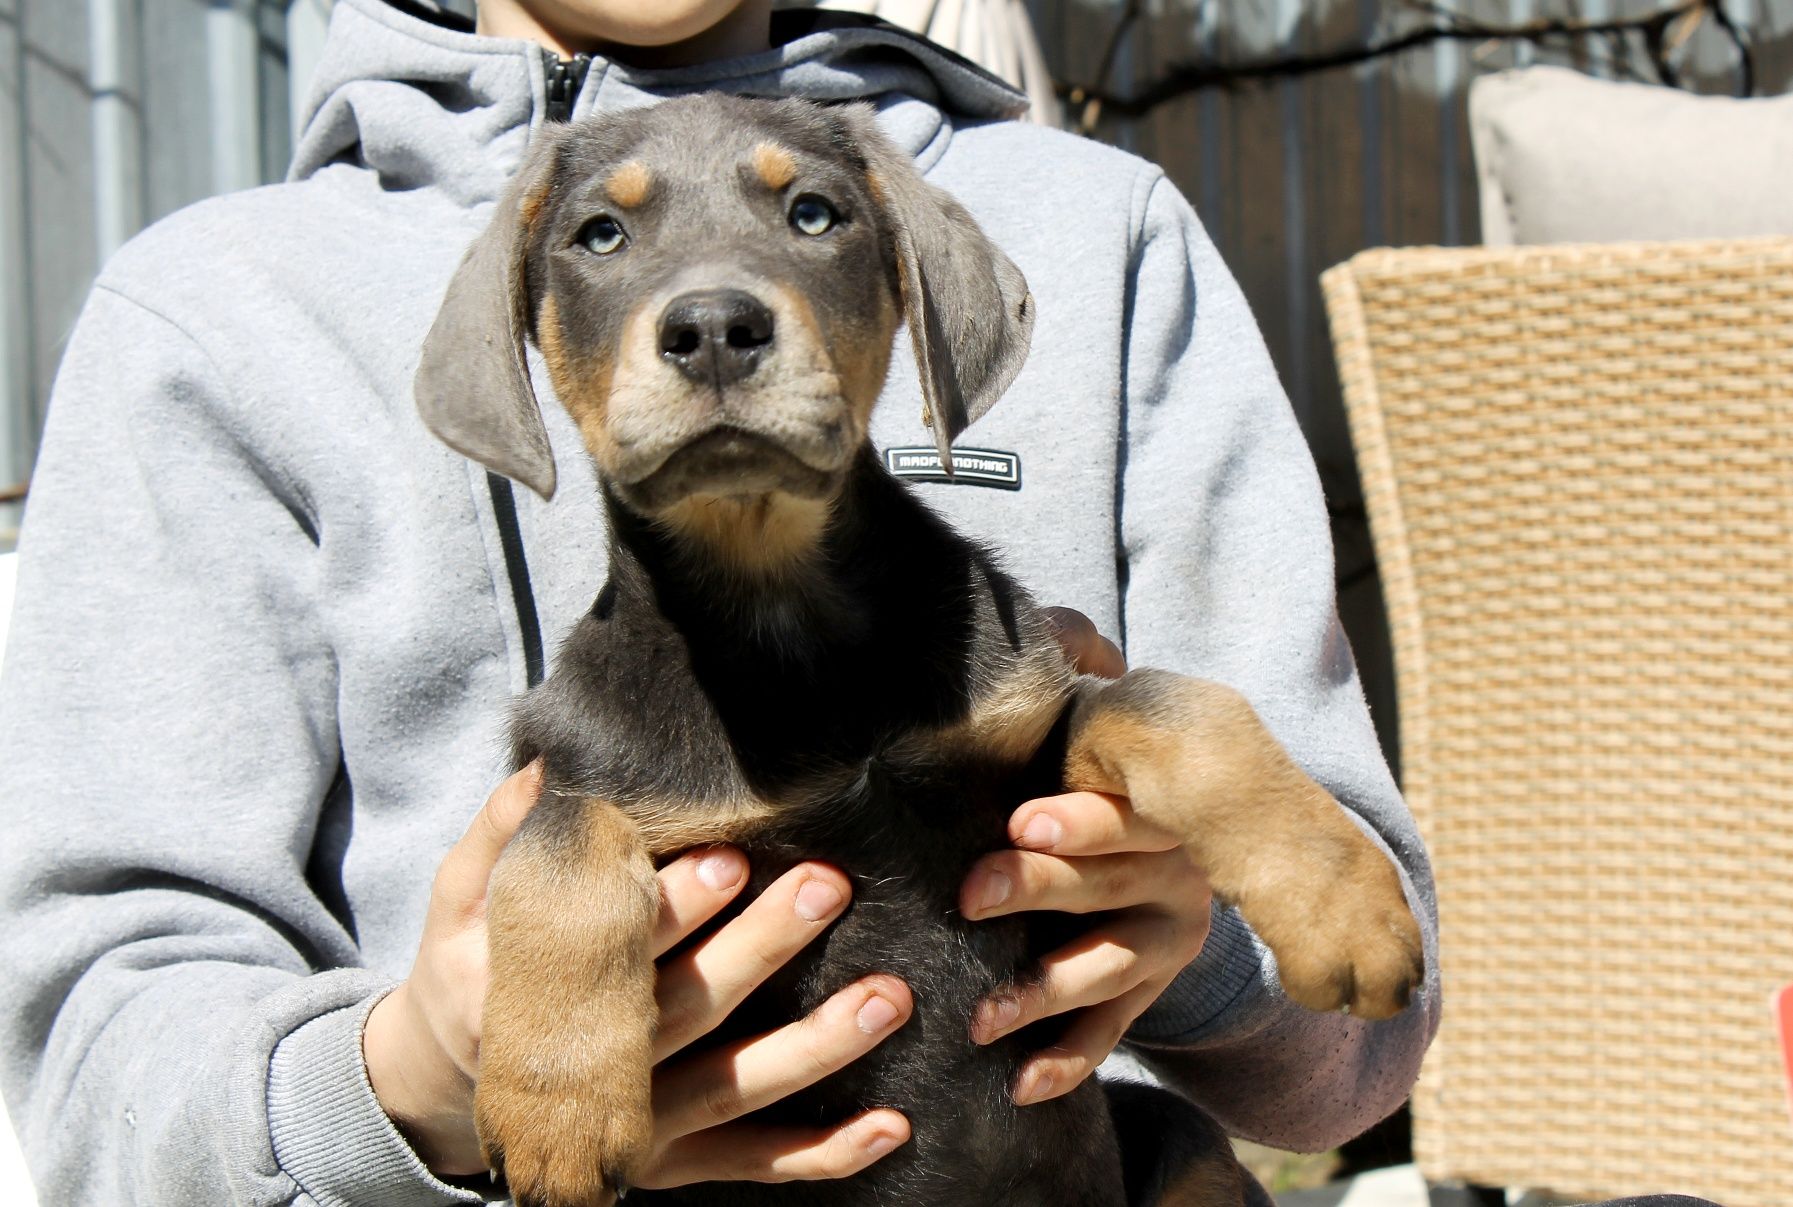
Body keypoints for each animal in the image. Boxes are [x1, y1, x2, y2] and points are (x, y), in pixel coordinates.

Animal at [412, 94, 1420, 1205]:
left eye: (813, 215)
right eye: (599, 235)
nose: (713, 328)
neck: (781, 618)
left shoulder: (1027, 742)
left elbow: (1170, 701)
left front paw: (1345, 908)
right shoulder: (583, 760)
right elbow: (553, 843)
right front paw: (555, 1109)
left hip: (1179, 1137)